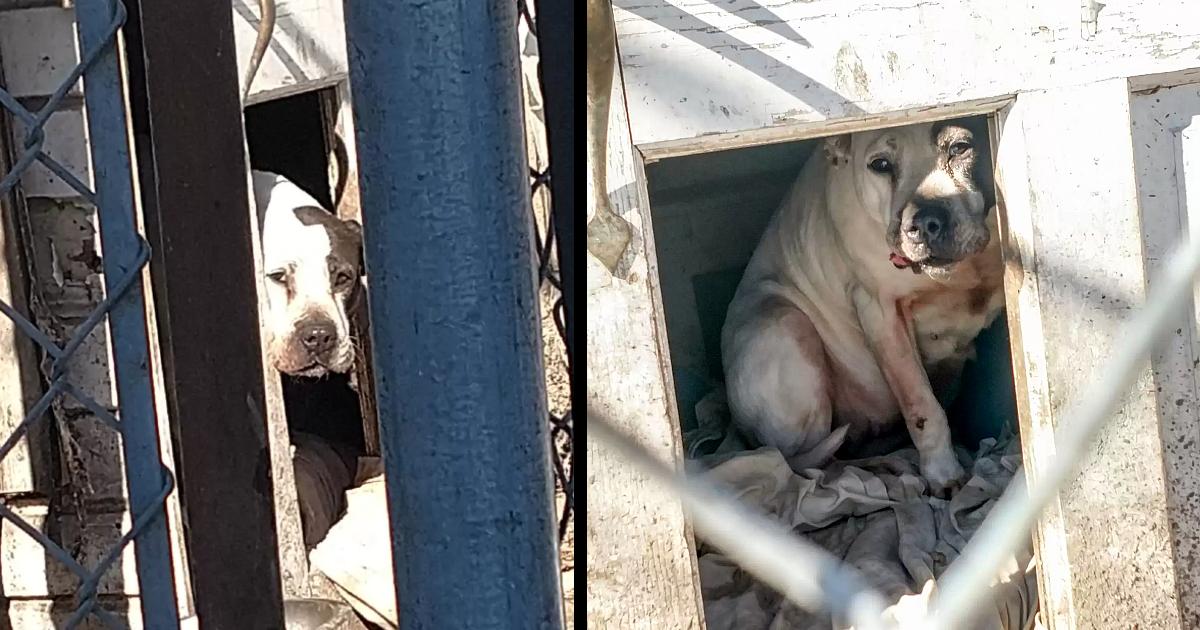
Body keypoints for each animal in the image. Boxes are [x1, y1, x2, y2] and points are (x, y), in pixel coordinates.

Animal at [720, 121, 1003, 496]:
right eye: (880, 165)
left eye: (959, 147)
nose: (925, 223)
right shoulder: (881, 312)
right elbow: (922, 407)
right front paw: (944, 472)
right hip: (783, 325)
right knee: (806, 460)